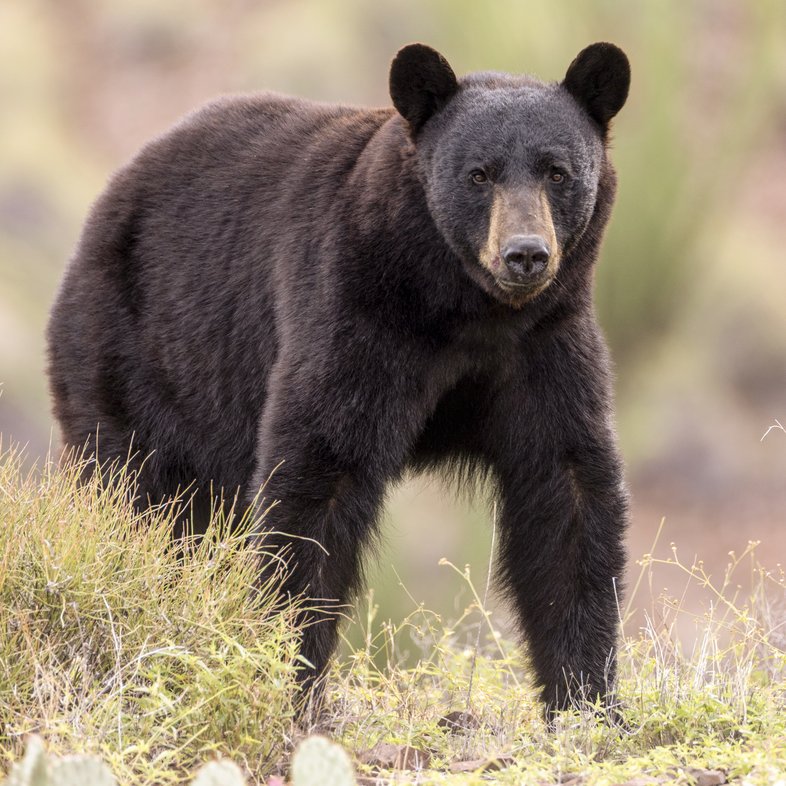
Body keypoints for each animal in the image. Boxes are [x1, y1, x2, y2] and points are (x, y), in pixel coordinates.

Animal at [47, 42, 631, 714]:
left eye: (557, 172)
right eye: (479, 174)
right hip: (139, 353)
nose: (526, 253)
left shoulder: (543, 345)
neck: (463, 308)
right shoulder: (355, 313)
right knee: (135, 493)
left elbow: (567, 492)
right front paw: (290, 673)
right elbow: (318, 477)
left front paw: (588, 697)